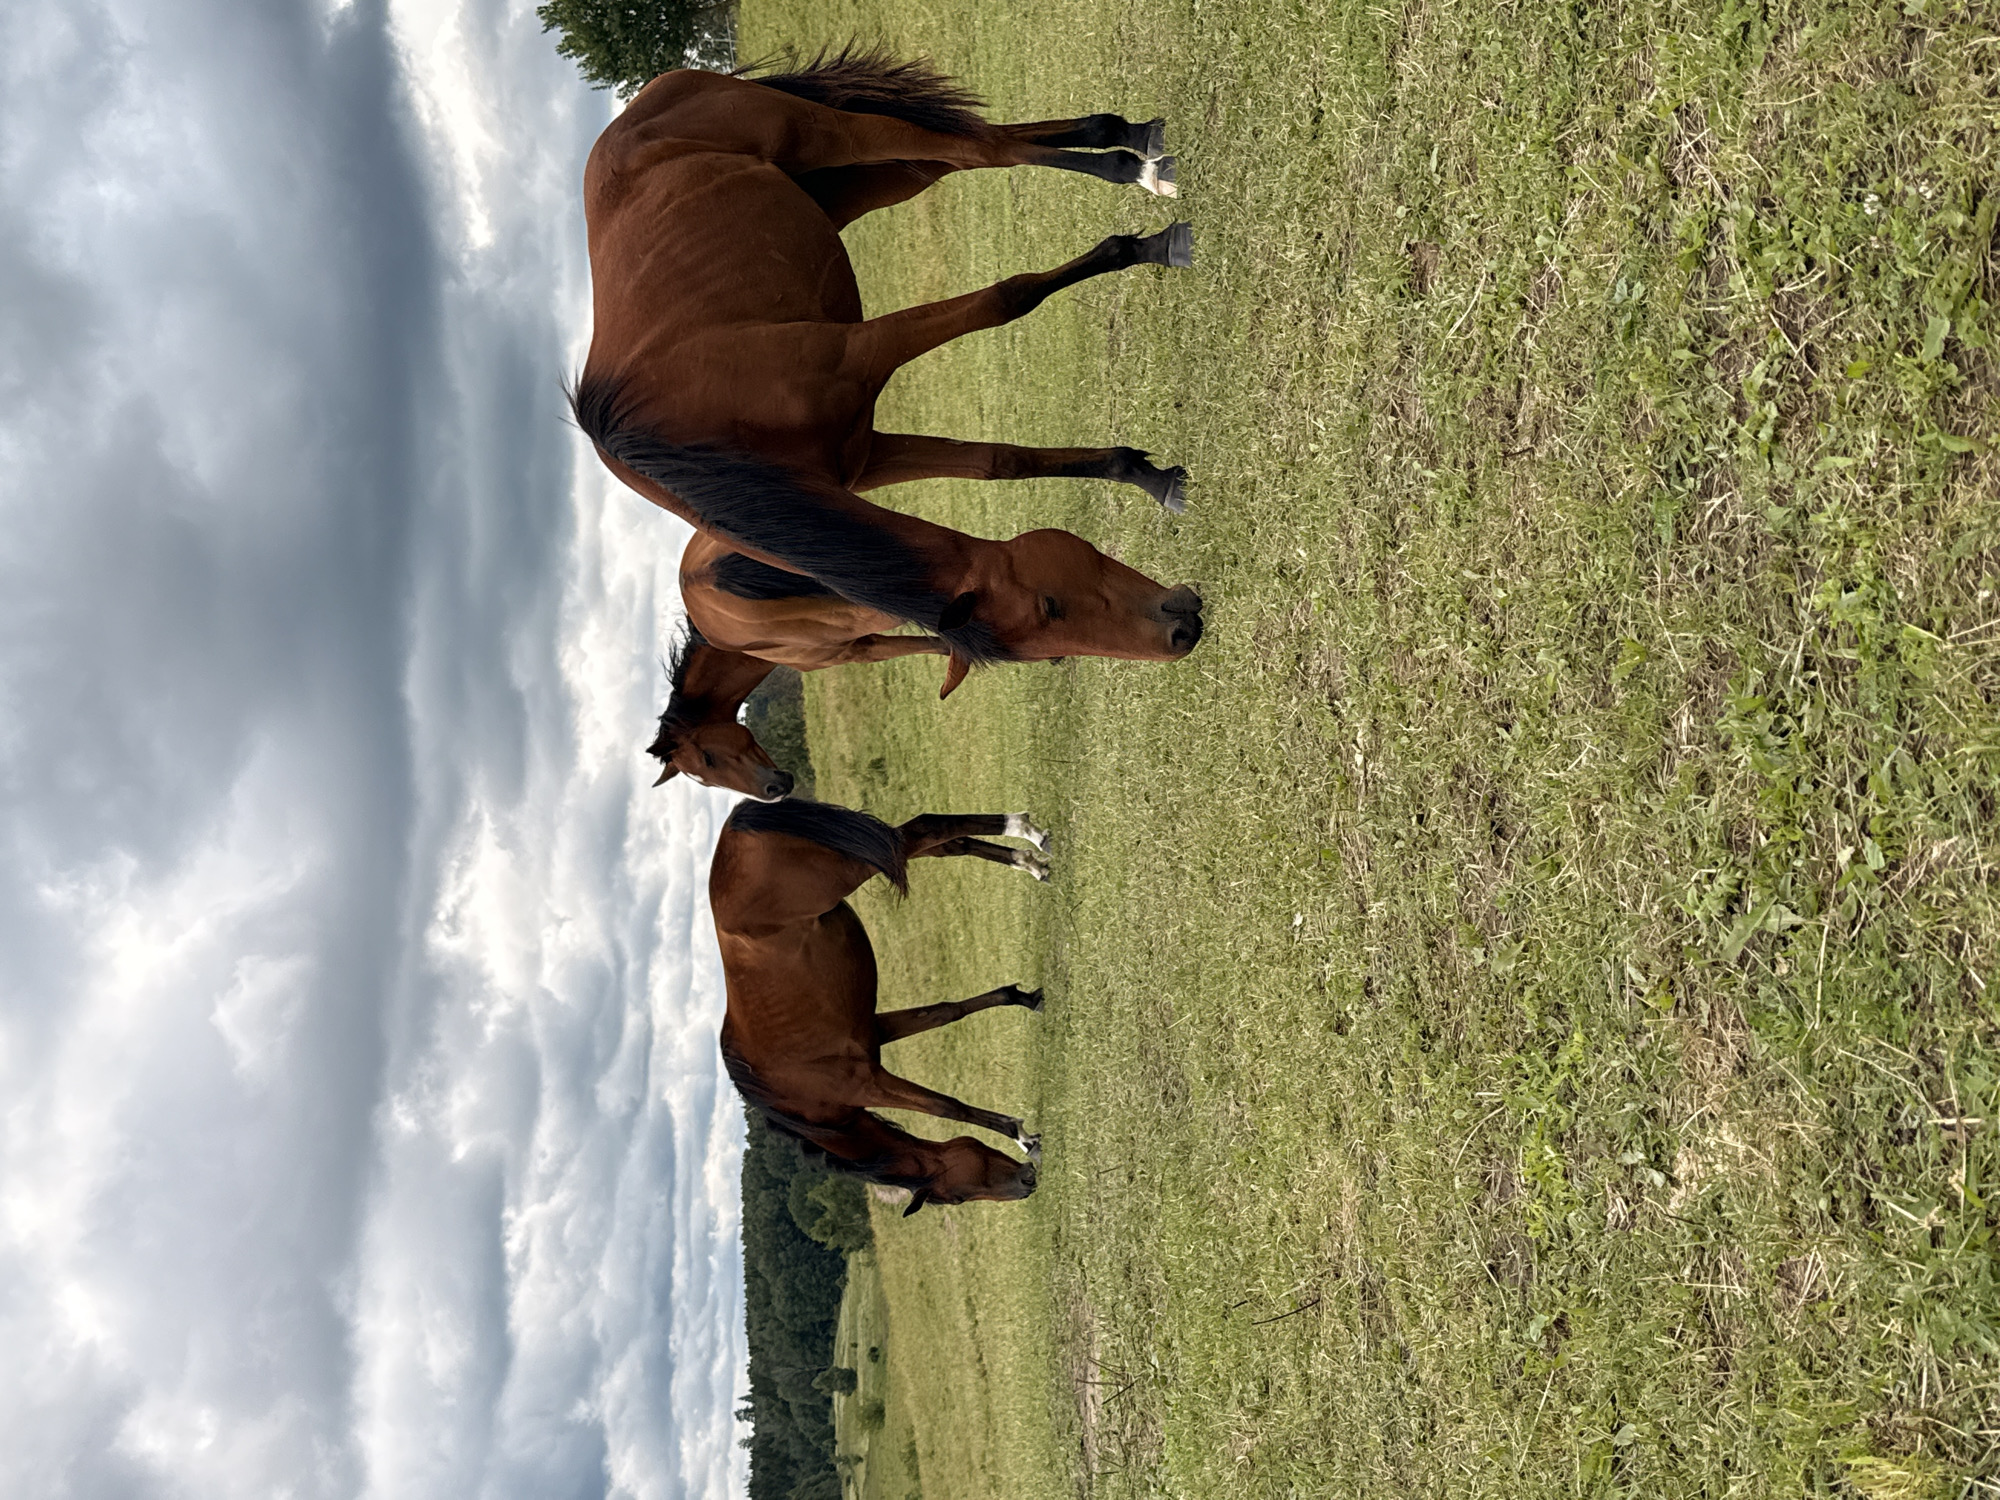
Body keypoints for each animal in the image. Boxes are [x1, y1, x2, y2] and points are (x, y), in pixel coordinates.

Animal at [576, 49, 1206, 693]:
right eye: (1051, 615)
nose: (1181, 632)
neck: (713, 443)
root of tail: (649, 98)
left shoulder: (865, 350)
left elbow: (1006, 300)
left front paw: (1143, 247)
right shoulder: (870, 451)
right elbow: (997, 463)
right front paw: (1148, 476)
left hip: (833, 138)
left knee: (981, 151)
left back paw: (1138, 170)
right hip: (869, 180)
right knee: (970, 149)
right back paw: (1135, 144)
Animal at [711, 796, 1052, 1213]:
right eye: (956, 1198)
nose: (1026, 1184)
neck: (801, 1106)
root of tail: (736, 823)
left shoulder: (869, 1083)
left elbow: (948, 1107)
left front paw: (1023, 1136)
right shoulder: (875, 1033)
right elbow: (947, 1013)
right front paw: (1023, 998)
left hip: (857, 865)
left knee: (925, 830)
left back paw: (1026, 835)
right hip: (871, 853)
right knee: (942, 845)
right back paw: (1029, 859)